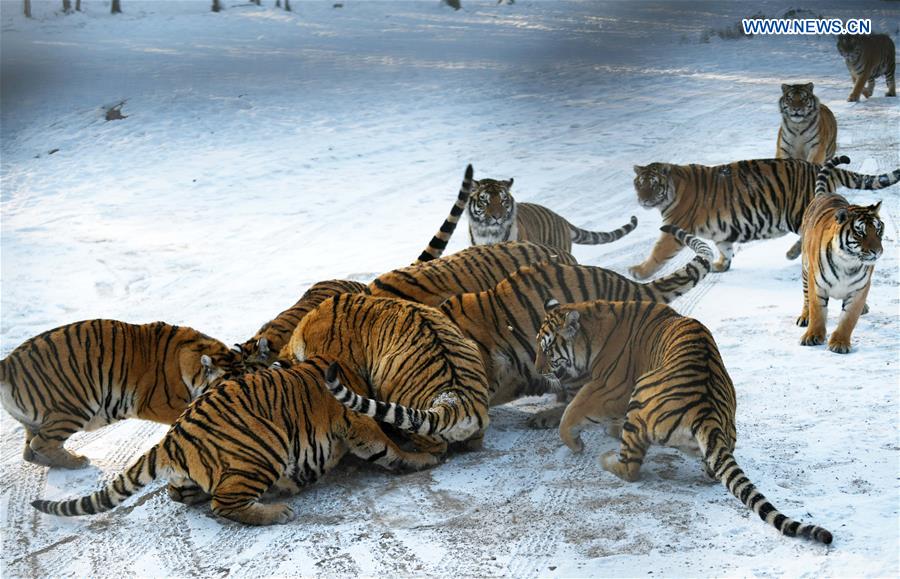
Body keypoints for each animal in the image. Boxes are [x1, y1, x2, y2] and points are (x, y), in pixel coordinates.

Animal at [0, 320, 242, 469]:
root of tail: (9, 363)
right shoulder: (158, 404)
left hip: (39, 419)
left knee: (29, 451)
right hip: (73, 405)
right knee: (41, 443)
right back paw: (78, 461)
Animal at [30, 357, 440, 526]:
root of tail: (171, 439)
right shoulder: (357, 421)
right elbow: (388, 448)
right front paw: (421, 460)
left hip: (200, 474)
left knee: (184, 495)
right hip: (261, 452)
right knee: (223, 506)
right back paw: (278, 510)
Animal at [536, 299, 833, 544]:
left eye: (547, 349)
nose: (537, 372)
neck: (593, 329)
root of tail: (706, 411)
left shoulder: (608, 389)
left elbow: (572, 412)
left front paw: (575, 444)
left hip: (639, 395)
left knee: (630, 469)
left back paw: (606, 461)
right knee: (713, 470)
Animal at [630, 158, 900, 279]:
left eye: (653, 185)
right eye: (639, 184)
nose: (643, 199)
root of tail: (817, 166)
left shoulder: (673, 228)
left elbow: (658, 252)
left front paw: (639, 272)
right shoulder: (722, 231)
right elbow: (725, 247)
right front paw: (721, 265)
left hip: (798, 211)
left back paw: (791, 253)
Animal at [797, 155, 883, 354]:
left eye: (878, 230)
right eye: (860, 233)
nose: (877, 251)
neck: (848, 263)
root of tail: (825, 194)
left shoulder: (860, 289)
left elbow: (849, 319)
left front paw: (840, 343)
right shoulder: (816, 283)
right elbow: (817, 311)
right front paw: (812, 336)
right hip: (805, 269)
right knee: (805, 297)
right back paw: (804, 316)